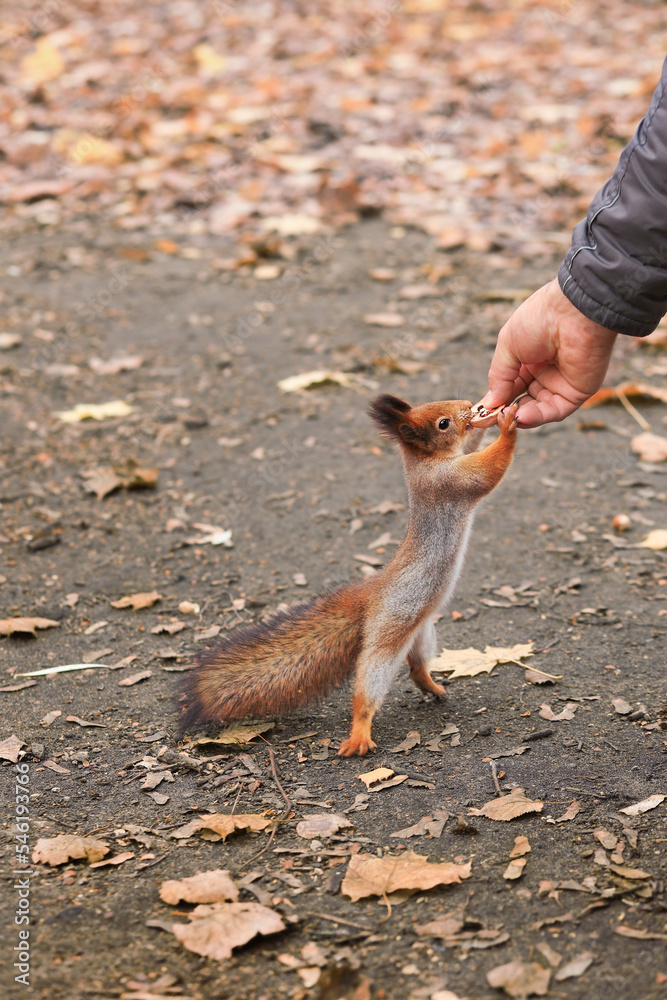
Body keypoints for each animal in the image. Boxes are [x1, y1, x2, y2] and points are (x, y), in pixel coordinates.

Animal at [180, 395, 518, 756]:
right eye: (443, 423)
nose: (468, 403)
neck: (426, 461)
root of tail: (371, 594)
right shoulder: (449, 481)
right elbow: (487, 471)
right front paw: (508, 423)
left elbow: (473, 444)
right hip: (386, 636)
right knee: (367, 689)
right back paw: (359, 734)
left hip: (420, 630)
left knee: (416, 667)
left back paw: (433, 688)